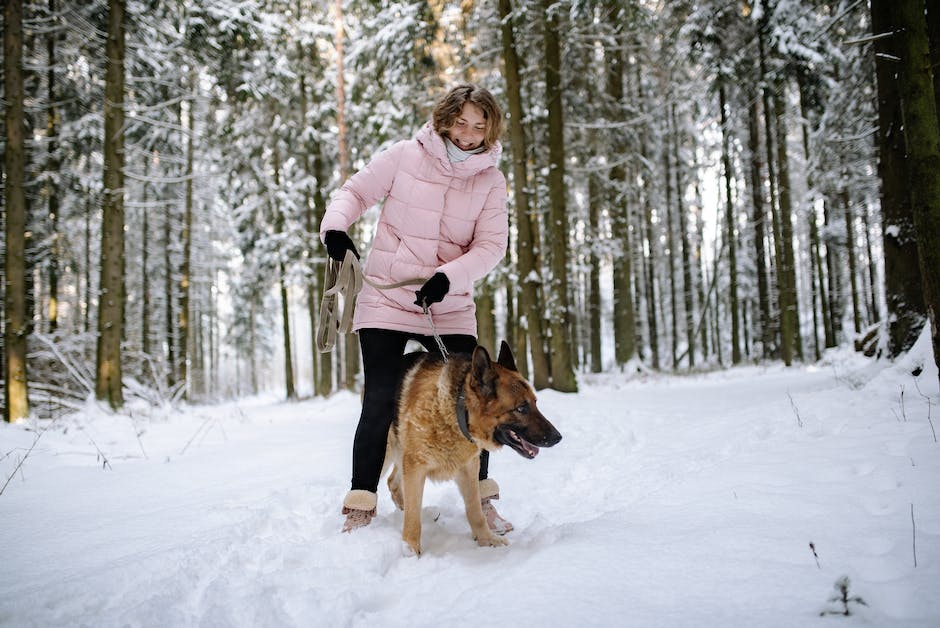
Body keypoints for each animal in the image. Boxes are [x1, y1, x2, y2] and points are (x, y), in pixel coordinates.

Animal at [384, 344, 560, 556]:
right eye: (521, 408)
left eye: (535, 403)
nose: (558, 437)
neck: (455, 413)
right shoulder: (415, 468)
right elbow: (413, 518)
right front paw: (411, 551)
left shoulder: (469, 469)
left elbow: (475, 510)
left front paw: (486, 540)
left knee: (393, 482)